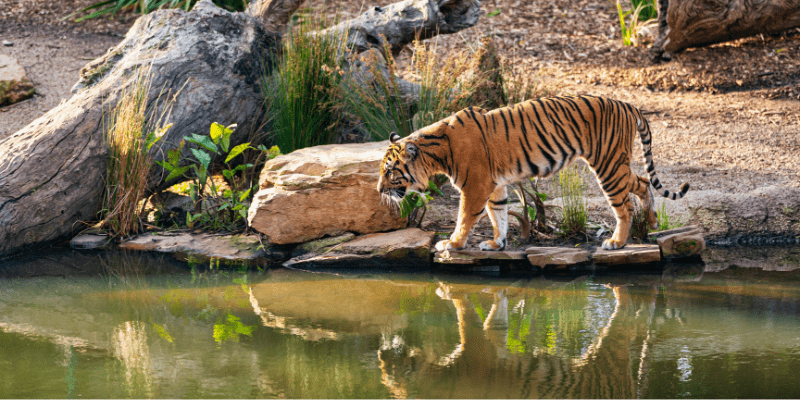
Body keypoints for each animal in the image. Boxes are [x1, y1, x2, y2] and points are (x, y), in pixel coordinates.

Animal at [378, 94, 692, 250]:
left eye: (390, 171)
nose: (379, 190)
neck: (436, 151)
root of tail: (628, 104)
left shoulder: (475, 186)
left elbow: (465, 218)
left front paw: (452, 244)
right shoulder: (494, 185)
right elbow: (499, 214)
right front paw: (496, 243)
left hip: (608, 165)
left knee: (624, 206)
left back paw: (616, 242)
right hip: (617, 165)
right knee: (642, 182)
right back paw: (651, 221)